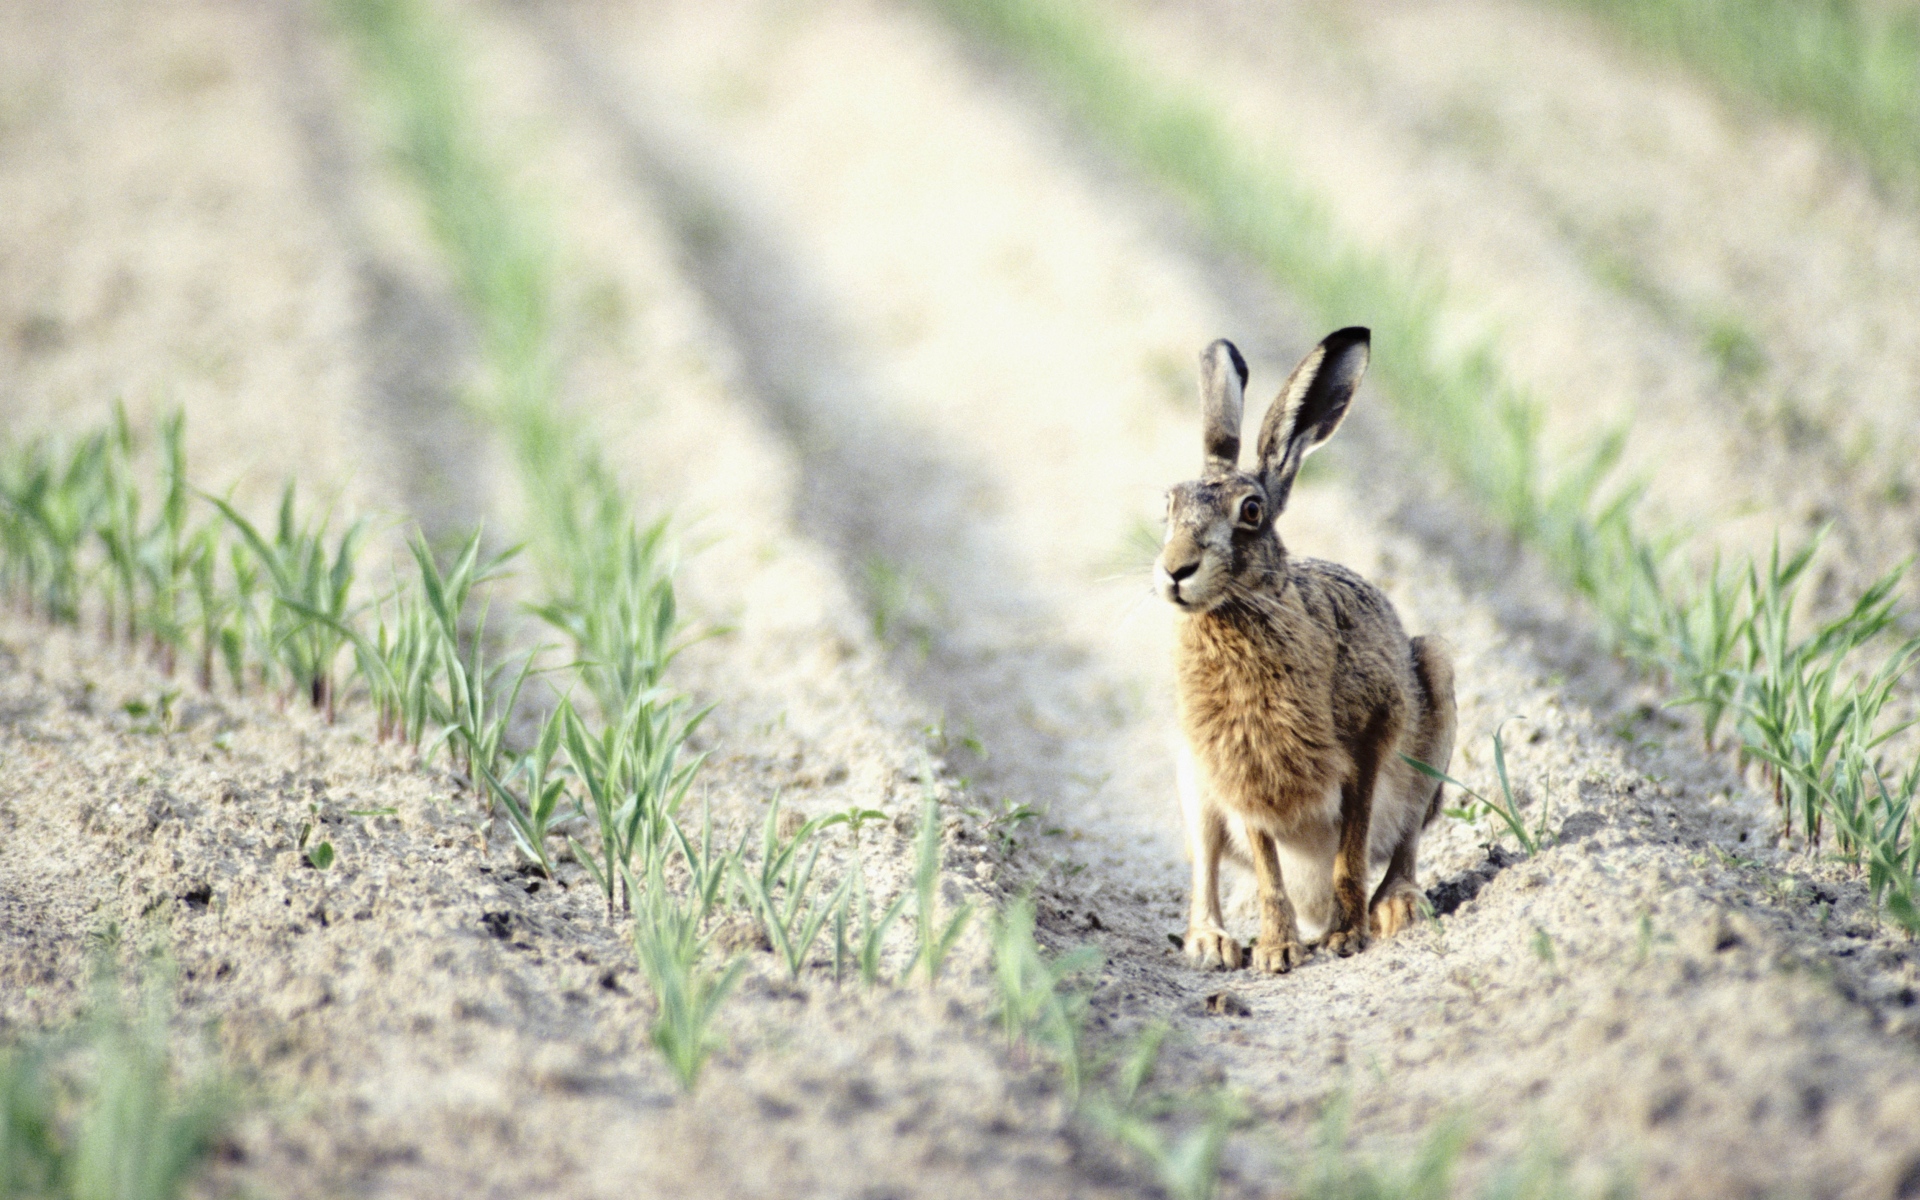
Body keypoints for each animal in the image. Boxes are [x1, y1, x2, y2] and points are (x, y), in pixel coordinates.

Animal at [1154, 328, 1455, 972]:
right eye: (1167, 506)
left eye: (1251, 511)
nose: (1175, 570)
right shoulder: (1243, 776)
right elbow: (1268, 872)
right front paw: (1277, 952)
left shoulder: (1368, 740)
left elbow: (1351, 849)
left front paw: (1345, 938)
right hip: (1193, 774)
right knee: (1206, 867)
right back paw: (1213, 944)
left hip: (1436, 690)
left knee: (1405, 842)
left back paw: (1395, 909)